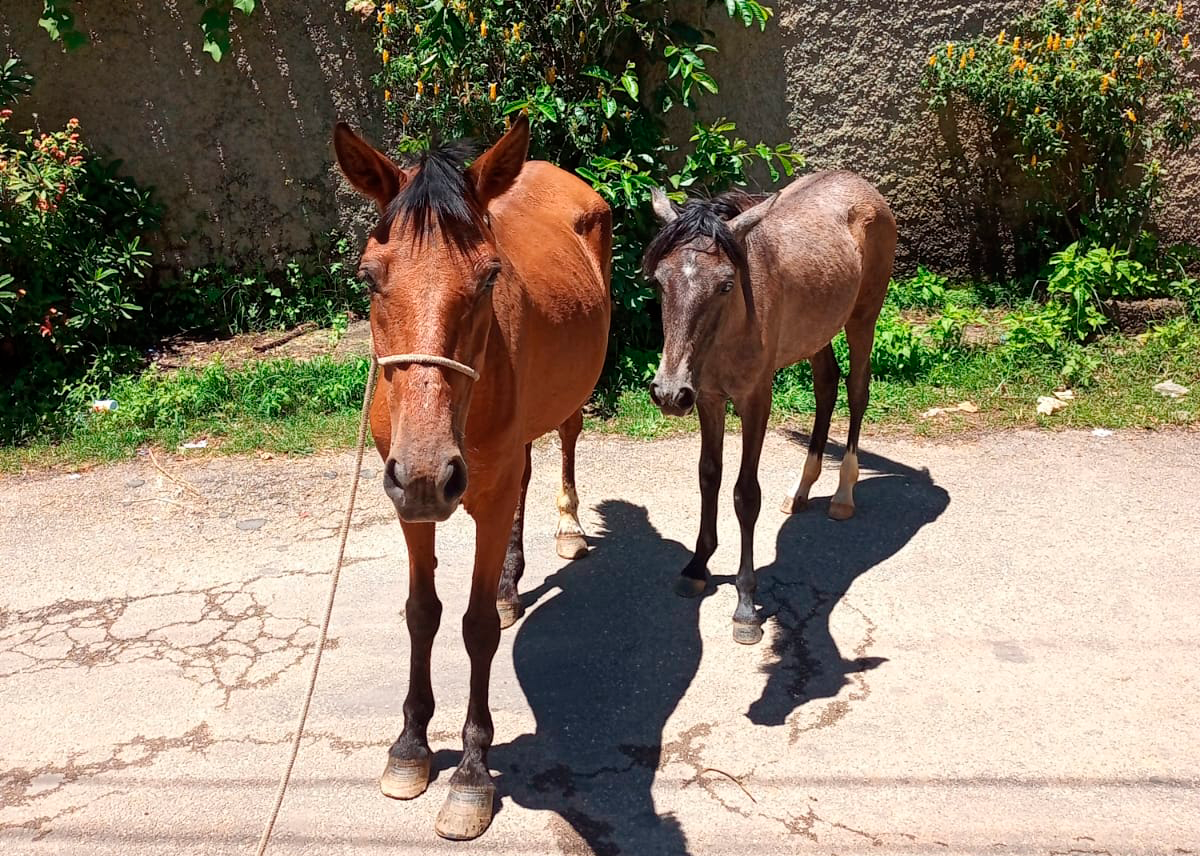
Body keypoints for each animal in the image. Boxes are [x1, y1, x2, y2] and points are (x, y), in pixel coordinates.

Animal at [331, 115, 609, 840]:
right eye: (368, 278)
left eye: (488, 278)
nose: (430, 472)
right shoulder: (409, 502)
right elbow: (421, 613)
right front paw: (409, 747)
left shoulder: (479, 489)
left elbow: (477, 627)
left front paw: (471, 776)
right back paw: (514, 585)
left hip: (567, 399)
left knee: (564, 442)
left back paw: (568, 528)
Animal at [648, 171, 892, 643]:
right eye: (659, 282)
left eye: (725, 284)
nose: (668, 393)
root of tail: (861, 186)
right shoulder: (708, 399)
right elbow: (709, 477)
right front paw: (697, 567)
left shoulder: (755, 401)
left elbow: (745, 495)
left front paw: (745, 606)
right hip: (817, 333)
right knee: (826, 386)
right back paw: (800, 491)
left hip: (863, 318)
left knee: (856, 390)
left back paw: (843, 495)